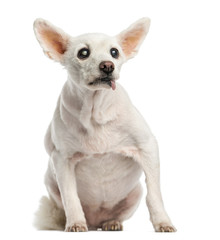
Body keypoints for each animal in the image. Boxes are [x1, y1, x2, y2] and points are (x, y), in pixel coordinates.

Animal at [33, 17, 176, 232]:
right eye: (83, 53)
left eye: (114, 52)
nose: (108, 65)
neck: (95, 111)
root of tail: (95, 222)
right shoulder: (62, 160)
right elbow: (70, 197)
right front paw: (75, 223)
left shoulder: (148, 148)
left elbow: (154, 195)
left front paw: (162, 222)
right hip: (50, 183)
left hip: (135, 193)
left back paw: (112, 222)